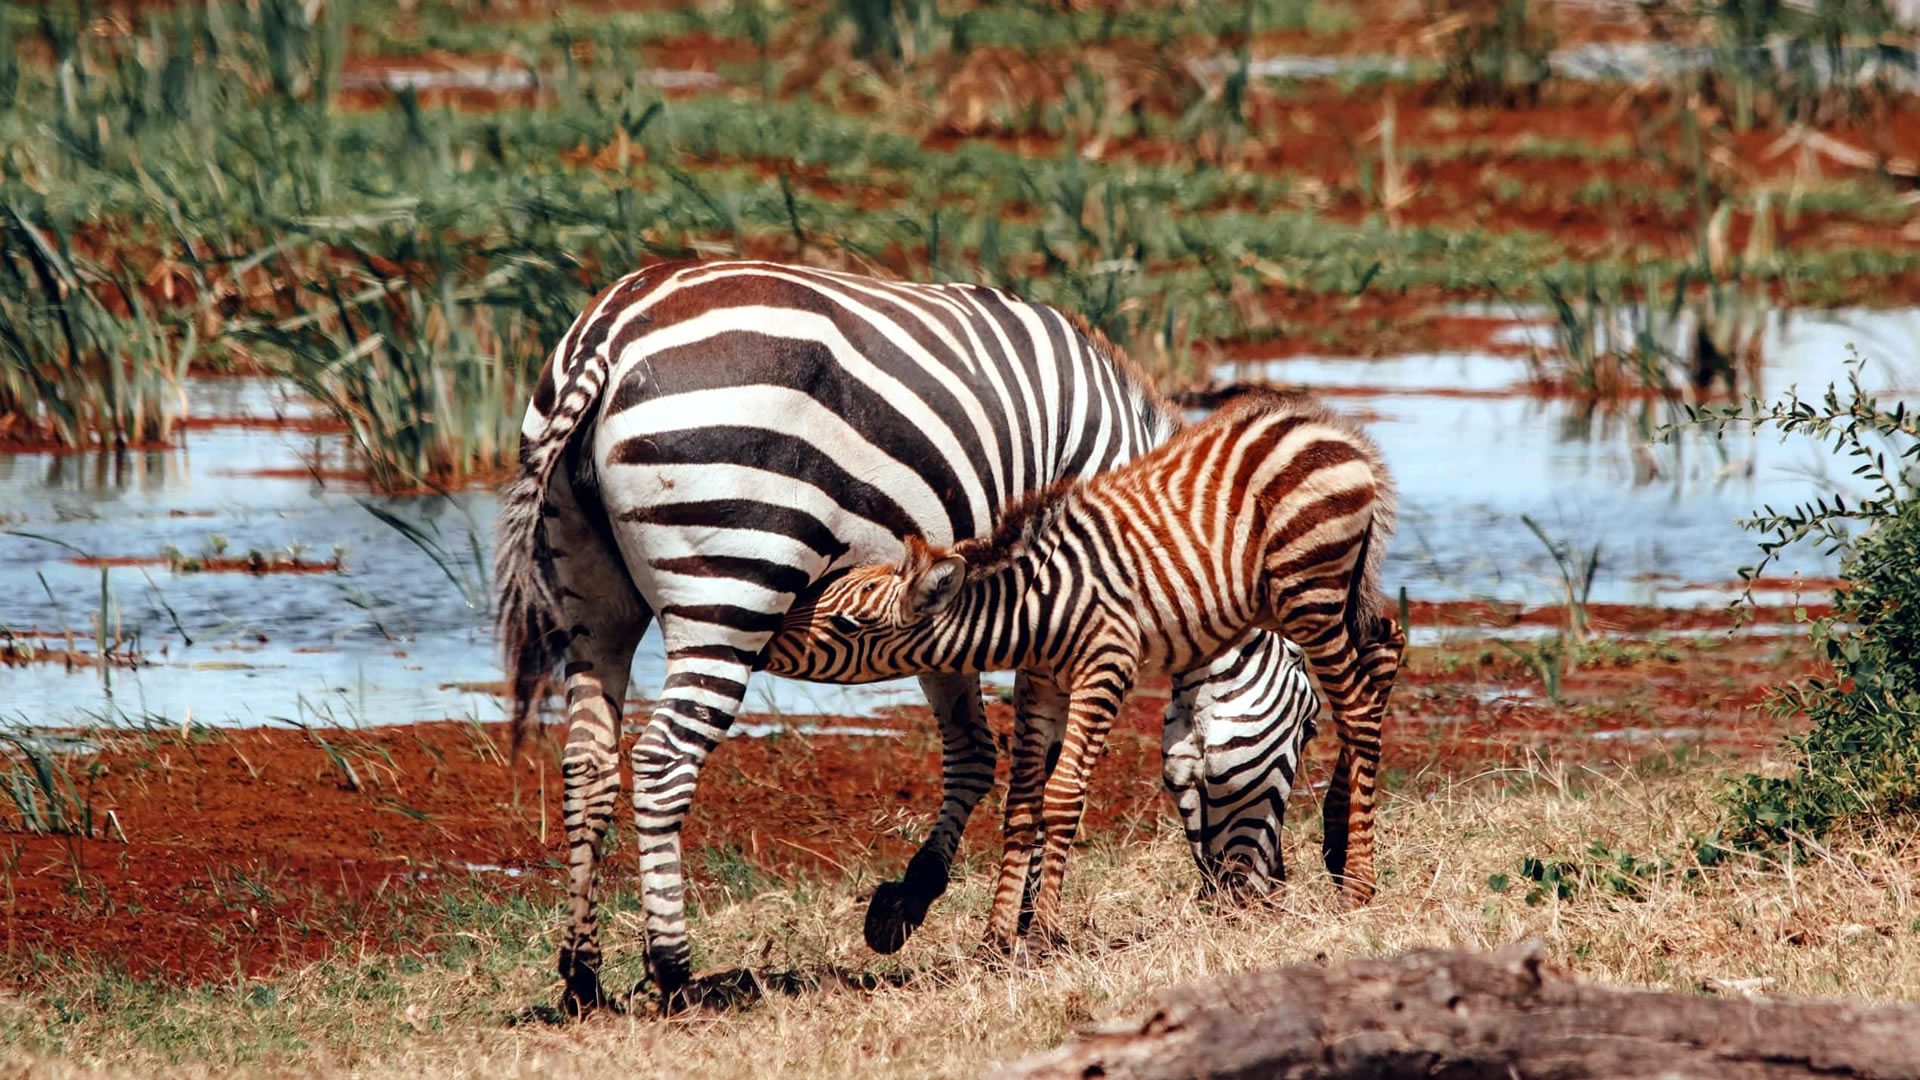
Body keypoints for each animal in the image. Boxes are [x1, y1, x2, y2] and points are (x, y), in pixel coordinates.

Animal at [494, 259, 1321, 1012]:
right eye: (1310, 730)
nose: (1266, 898)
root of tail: (608, 336)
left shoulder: (950, 606)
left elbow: (979, 755)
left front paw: (912, 905)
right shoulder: (1051, 592)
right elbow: (1031, 766)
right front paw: (1006, 928)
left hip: (591, 600)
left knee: (587, 765)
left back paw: (582, 977)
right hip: (733, 581)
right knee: (665, 761)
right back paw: (674, 972)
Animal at [767, 388, 1405, 949]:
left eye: (846, 624)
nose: (766, 639)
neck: (1036, 606)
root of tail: (1338, 433)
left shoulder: (1105, 665)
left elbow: (1062, 796)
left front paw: (1044, 935)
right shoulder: (1042, 682)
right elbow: (1022, 803)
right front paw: (997, 939)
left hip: (1311, 595)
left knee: (1357, 712)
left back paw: (1358, 888)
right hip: (1320, 598)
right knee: (1385, 647)